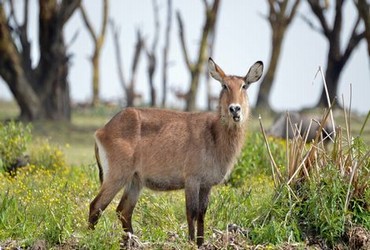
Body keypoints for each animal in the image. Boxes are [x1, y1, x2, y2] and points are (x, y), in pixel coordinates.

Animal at [89, 58, 264, 246]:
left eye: (244, 86)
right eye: (224, 85)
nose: (235, 109)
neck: (214, 134)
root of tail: (102, 130)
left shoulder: (206, 184)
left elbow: (202, 214)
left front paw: (200, 243)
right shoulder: (192, 180)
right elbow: (191, 212)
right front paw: (190, 242)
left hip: (135, 180)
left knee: (123, 211)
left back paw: (132, 241)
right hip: (116, 176)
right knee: (96, 206)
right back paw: (90, 238)